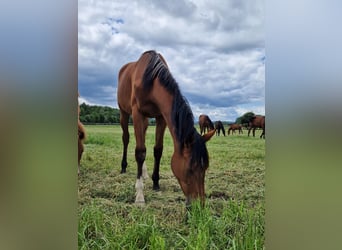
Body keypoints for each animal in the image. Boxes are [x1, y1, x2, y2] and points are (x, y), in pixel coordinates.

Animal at [117, 49, 214, 206]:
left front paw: (155, 182)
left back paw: (144, 173)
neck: (150, 81)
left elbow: (158, 150)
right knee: (126, 139)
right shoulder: (137, 113)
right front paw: (139, 195)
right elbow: (140, 152)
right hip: (124, 113)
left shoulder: (161, 117)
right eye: (190, 169)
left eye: (205, 167)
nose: (199, 205)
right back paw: (124, 167)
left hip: (144, 120)